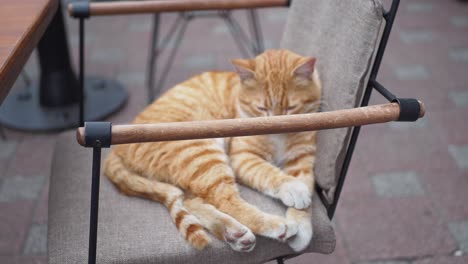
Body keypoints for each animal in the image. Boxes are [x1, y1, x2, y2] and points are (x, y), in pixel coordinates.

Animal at [103, 49, 320, 252]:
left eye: (291, 108)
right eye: (261, 108)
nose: (276, 125)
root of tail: (115, 149)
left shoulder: (301, 159)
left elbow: (305, 188)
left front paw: (302, 226)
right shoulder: (243, 157)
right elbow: (269, 173)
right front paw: (292, 188)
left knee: (193, 201)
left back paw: (234, 234)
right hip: (202, 153)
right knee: (225, 199)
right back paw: (274, 226)